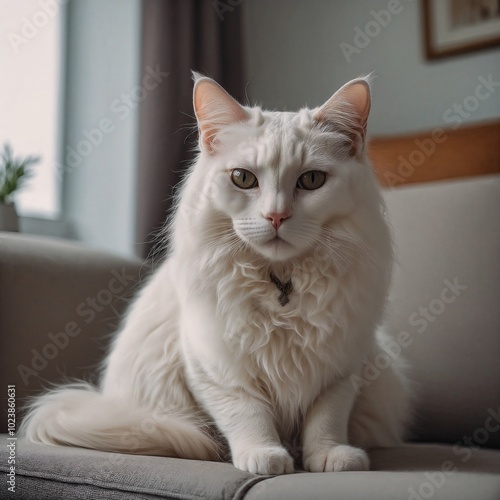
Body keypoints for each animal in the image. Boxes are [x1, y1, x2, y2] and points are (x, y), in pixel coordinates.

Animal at [20, 73, 410, 472]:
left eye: (313, 180)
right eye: (243, 178)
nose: (276, 216)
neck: (281, 281)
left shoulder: (341, 370)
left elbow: (326, 419)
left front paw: (329, 457)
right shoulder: (217, 366)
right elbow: (247, 413)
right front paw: (265, 456)